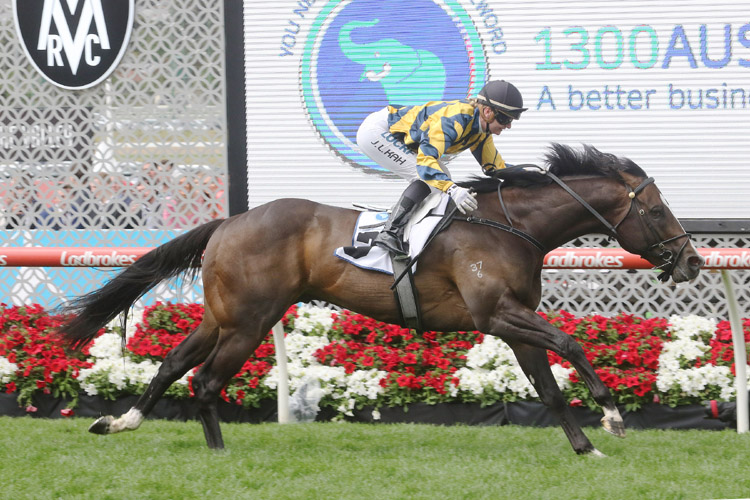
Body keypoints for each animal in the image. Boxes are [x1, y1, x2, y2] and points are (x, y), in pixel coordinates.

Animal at [57, 143, 704, 456]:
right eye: (655, 210)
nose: (694, 261)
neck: (508, 226)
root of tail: (229, 221)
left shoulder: (513, 322)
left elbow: (547, 387)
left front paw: (585, 449)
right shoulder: (499, 314)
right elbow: (571, 342)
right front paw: (613, 416)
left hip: (225, 315)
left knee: (173, 364)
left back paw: (120, 421)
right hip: (249, 320)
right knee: (207, 381)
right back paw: (217, 455)